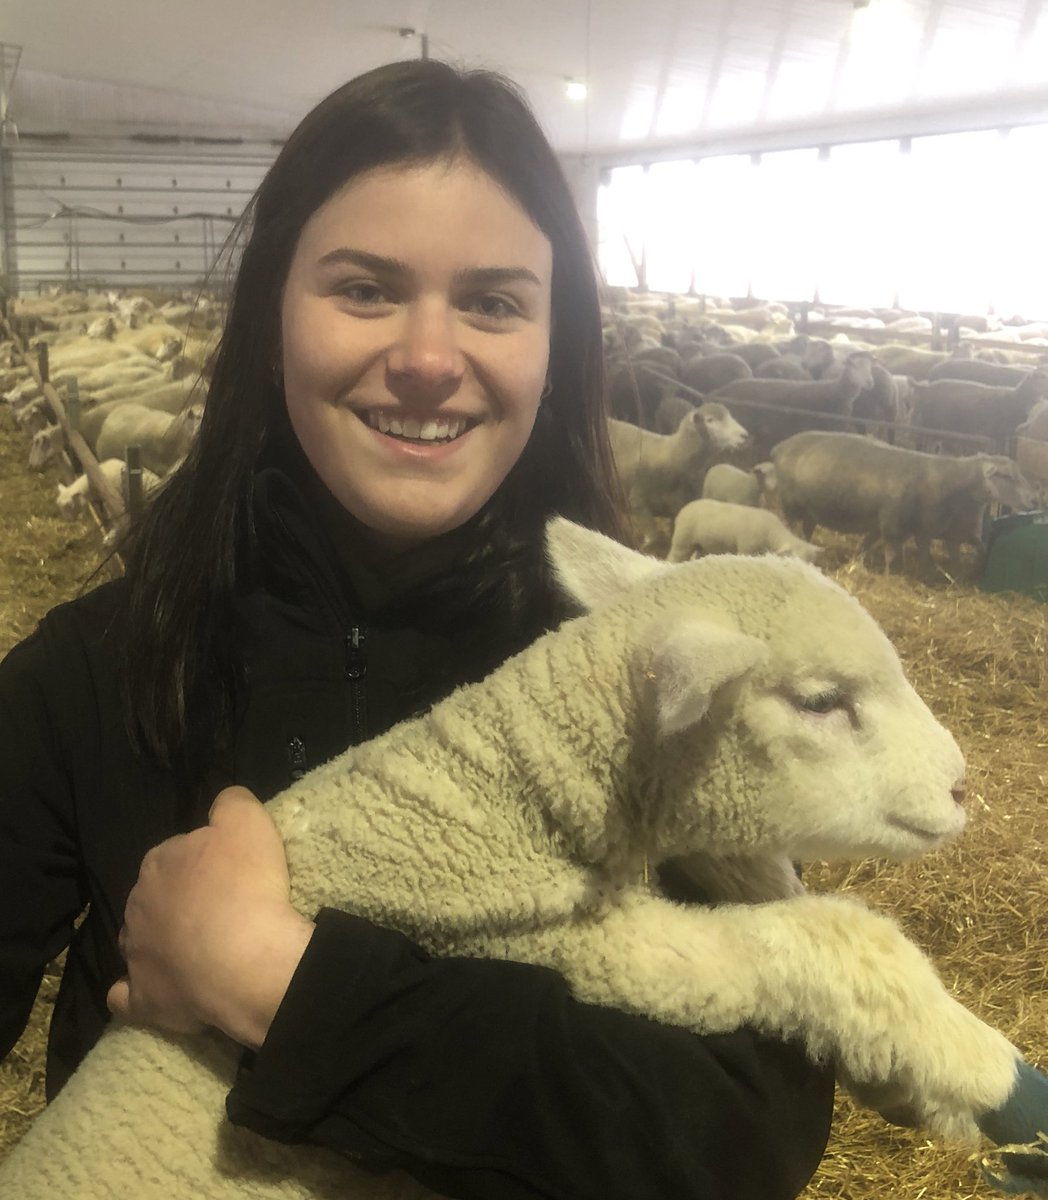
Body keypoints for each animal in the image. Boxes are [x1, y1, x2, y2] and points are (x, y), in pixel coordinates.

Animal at [667, 498, 821, 563]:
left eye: (812, 561)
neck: (772, 534)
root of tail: (683, 510)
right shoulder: (747, 549)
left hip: (701, 545)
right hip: (683, 541)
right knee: (673, 557)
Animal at [771, 431, 1036, 576]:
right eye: (1007, 476)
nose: (1033, 499)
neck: (942, 479)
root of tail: (781, 446)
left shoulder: (901, 525)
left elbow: (871, 544)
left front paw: (861, 562)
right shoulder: (893, 524)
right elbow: (891, 553)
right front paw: (889, 576)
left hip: (809, 509)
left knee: (806, 528)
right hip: (790, 503)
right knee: (789, 525)